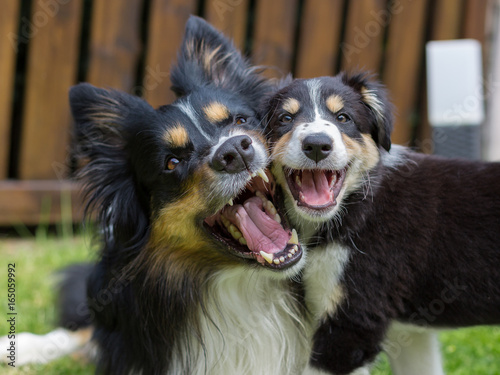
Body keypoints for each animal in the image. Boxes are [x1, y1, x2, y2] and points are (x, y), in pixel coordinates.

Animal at [266, 73, 500, 375]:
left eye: (343, 117)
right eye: (285, 118)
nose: (317, 144)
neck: (356, 207)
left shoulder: (352, 322)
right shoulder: (412, 334)